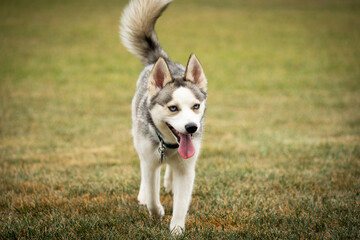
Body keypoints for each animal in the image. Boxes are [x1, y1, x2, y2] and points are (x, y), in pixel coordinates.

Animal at [119, 0, 207, 234]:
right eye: (173, 108)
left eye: (196, 106)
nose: (192, 127)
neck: (168, 145)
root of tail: (164, 60)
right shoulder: (151, 162)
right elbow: (151, 193)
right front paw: (156, 211)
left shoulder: (187, 169)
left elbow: (182, 201)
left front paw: (176, 229)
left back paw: (169, 181)